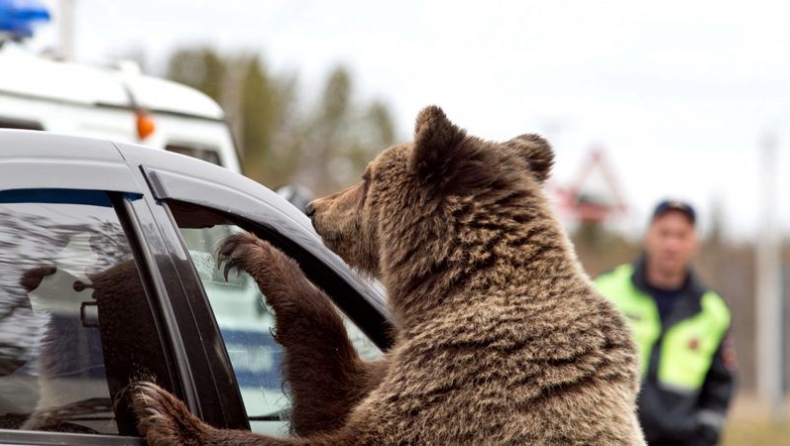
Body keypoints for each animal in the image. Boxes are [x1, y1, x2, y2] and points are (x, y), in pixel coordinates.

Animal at [133, 105, 648, 446]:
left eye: (366, 177)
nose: (314, 207)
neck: (451, 291)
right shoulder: (403, 363)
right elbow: (334, 387)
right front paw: (253, 250)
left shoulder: (466, 383)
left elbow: (350, 432)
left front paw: (162, 411)